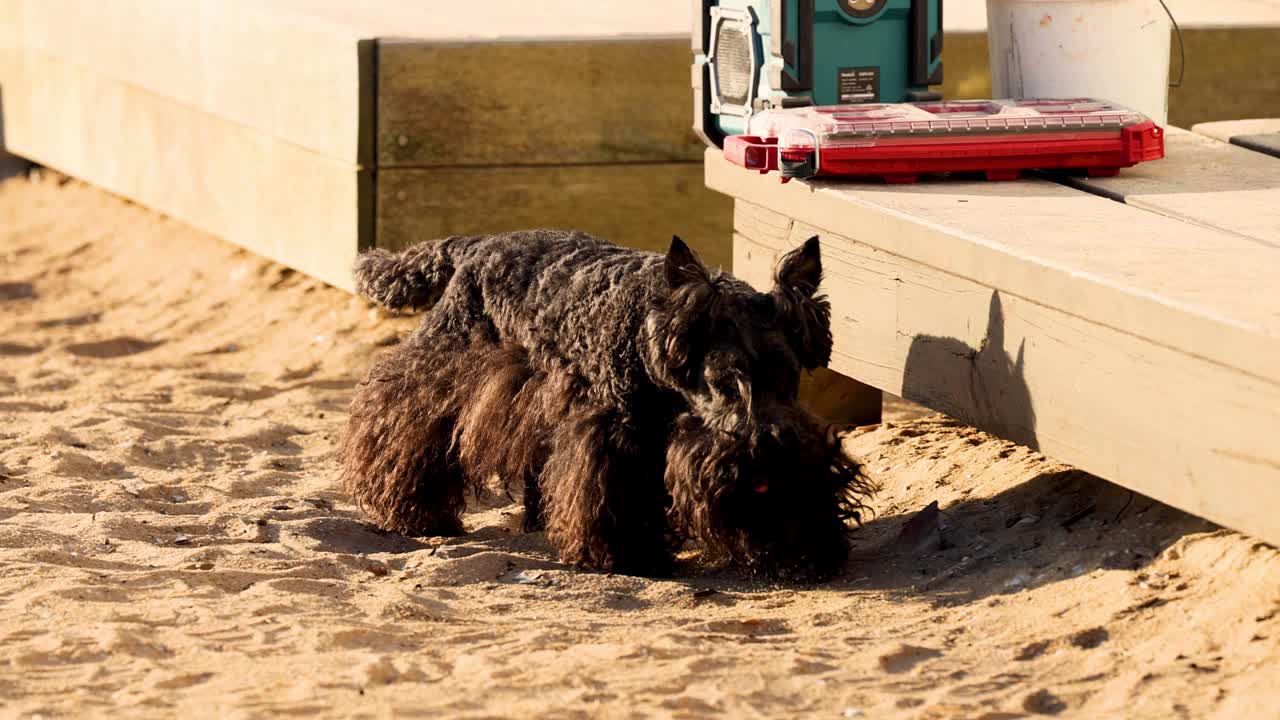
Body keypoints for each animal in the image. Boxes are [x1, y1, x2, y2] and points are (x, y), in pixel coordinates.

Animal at [340, 233, 875, 579]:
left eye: (788, 376)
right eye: (724, 379)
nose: (769, 461)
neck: (650, 339)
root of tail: (473, 246)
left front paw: (795, 548)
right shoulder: (615, 432)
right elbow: (614, 491)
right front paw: (629, 554)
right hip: (444, 368)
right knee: (403, 423)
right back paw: (414, 513)